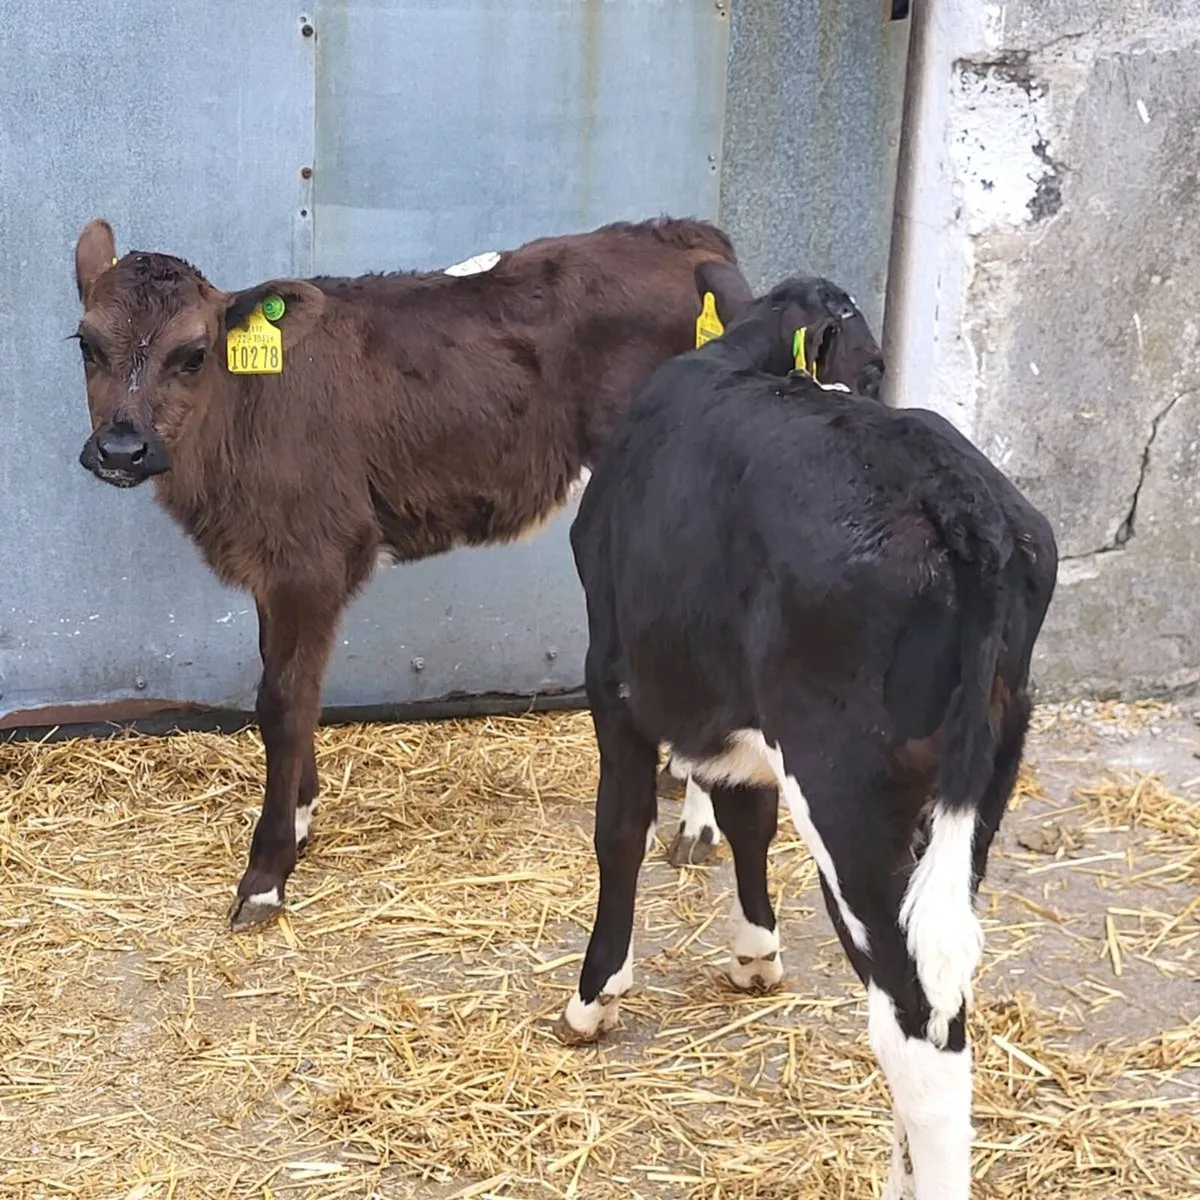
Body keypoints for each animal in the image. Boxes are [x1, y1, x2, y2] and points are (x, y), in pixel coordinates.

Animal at [71, 214, 739, 931]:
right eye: (86, 345)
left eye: (194, 354)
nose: (121, 449)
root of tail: (682, 234)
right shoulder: (273, 565)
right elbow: (291, 685)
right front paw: (302, 818)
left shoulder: (314, 558)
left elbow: (283, 701)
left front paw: (267, 873)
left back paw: (698, 827)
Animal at [558, 259, 1058, 1200]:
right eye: (869, 364)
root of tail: (960, 501)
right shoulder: (740, 716)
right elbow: (745, 820)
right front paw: (755, 952)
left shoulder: (612, 671)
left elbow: (621, 828)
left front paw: (595, 994)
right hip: (974, 789)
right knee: (940, 985)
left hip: (846, 790)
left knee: (918, 1030)